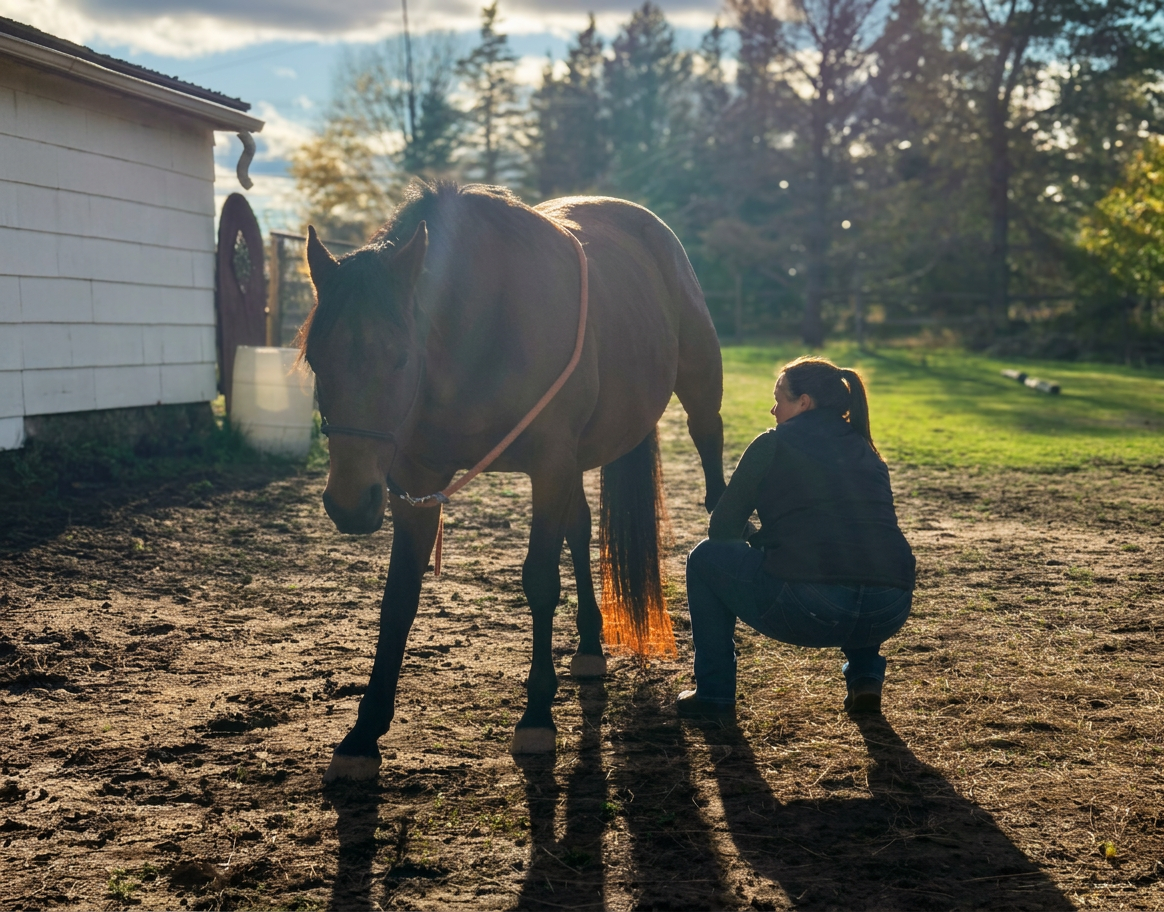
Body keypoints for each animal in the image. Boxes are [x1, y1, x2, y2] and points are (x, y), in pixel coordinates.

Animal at [300, 181, 726, 782]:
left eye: (400, 358)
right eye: (316, 361)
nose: (350, 504)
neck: (480, 334)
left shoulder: (547, 465)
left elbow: (539, 582)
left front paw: (537, 715)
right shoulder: (419, 485)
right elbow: (398, 600)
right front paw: (363, 734)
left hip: (698, 396)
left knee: (712, 473)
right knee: (580, 529)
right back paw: (590, 644)